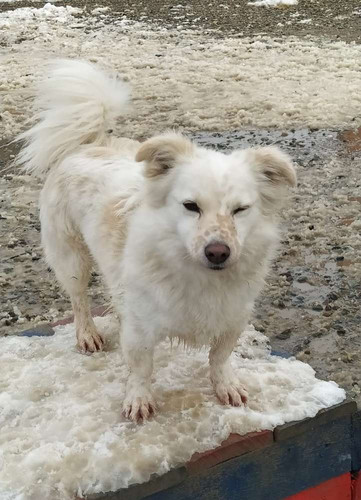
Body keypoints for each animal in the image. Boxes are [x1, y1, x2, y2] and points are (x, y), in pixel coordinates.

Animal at [18, 59, 296, 422]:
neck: (198, 277)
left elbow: (220, 357)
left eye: (240, 210)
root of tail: (89, 143)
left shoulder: (233, 316)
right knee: (79, 300)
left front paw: (226, 386)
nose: (218, 252)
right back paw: (87, 334)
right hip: (72, 259)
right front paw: (138, 400)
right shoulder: (140, 329)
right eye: (191, 206)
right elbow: (141, 367)